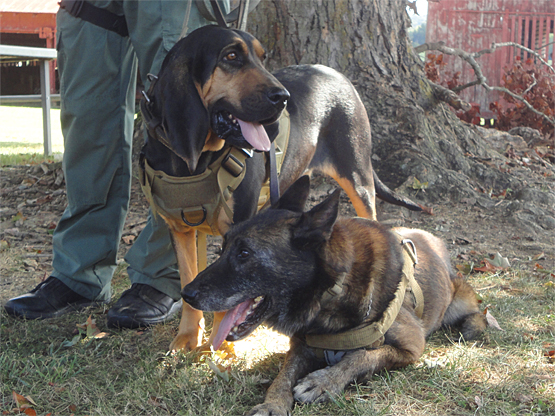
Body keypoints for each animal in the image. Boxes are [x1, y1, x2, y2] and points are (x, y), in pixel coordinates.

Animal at [140, 25, 422, 352]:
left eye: (262, 58)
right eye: (231, 57)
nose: (283, 97)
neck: (197, 161)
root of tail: (336, 73)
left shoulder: (237, 225)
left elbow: (231, 294)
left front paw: (220, 345)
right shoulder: (180, 229)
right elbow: (190, 277)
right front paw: (188, 337)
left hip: (358, 177)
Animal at [184, 176, 486, 416]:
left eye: (245, 253)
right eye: (223, 247)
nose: (186, 294)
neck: (331, 291)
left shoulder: (411, 348)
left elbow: (361, 356)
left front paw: (323, 382)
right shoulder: (301, 346)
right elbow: (283, 376)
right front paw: (273, 404)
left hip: (461, 297)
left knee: (479, 309)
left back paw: (474, 326)